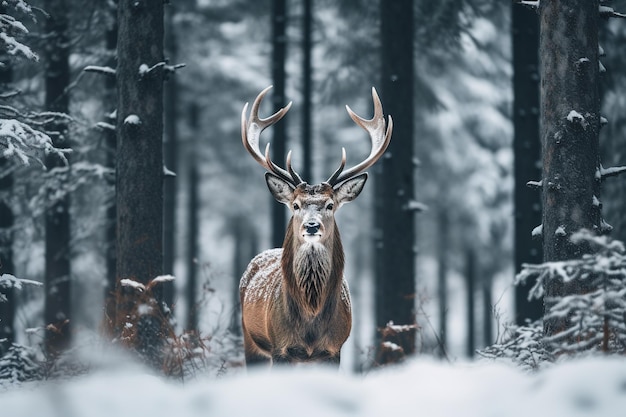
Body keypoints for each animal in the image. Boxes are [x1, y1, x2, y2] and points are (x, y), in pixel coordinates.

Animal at [239, 86, 390, 366]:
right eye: (296, 205)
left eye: (330, 205)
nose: (311, 226)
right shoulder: (280, 347)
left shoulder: (333, 349)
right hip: (250, 339)